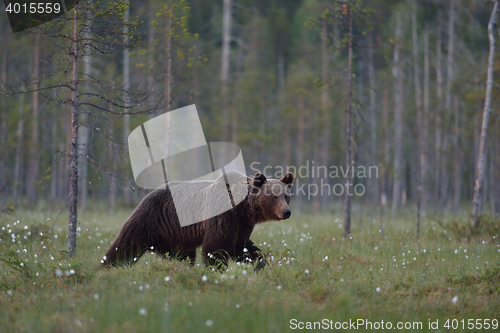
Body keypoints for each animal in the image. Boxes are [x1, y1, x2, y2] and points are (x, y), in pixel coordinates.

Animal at [103, 169, 294, 270]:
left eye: (286, 195)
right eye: (274, 197)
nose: (287, 212)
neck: (242, 208)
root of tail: (148, 194)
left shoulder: (243, 224)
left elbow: (243, 247)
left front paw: (260, 263)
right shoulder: (223, 215)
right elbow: (216, 246)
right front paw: (217, 269)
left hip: (176, 236)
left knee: (184, 256)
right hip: (151, 218)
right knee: (126, 244)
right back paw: (106, 268)